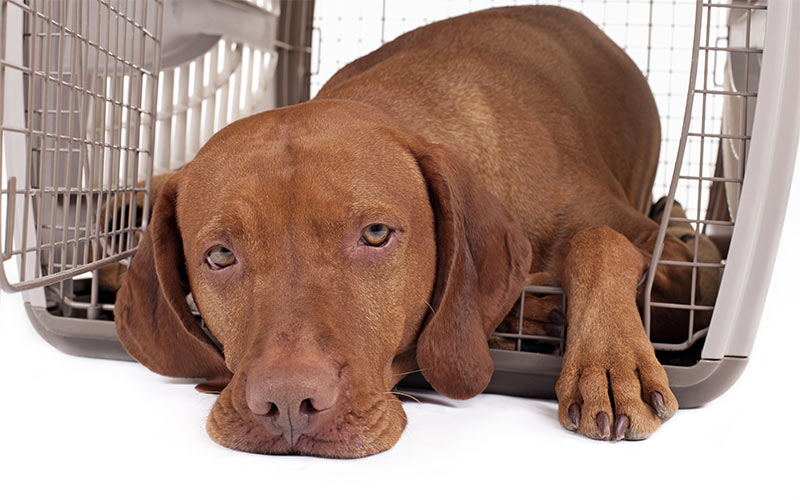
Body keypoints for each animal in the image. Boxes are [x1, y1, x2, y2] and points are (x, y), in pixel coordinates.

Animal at [112, 6, 708, 458]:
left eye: (375, 234)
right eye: (219, 256)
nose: (287, 405)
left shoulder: (675, 264)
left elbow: (600, 240)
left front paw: (610, 364)